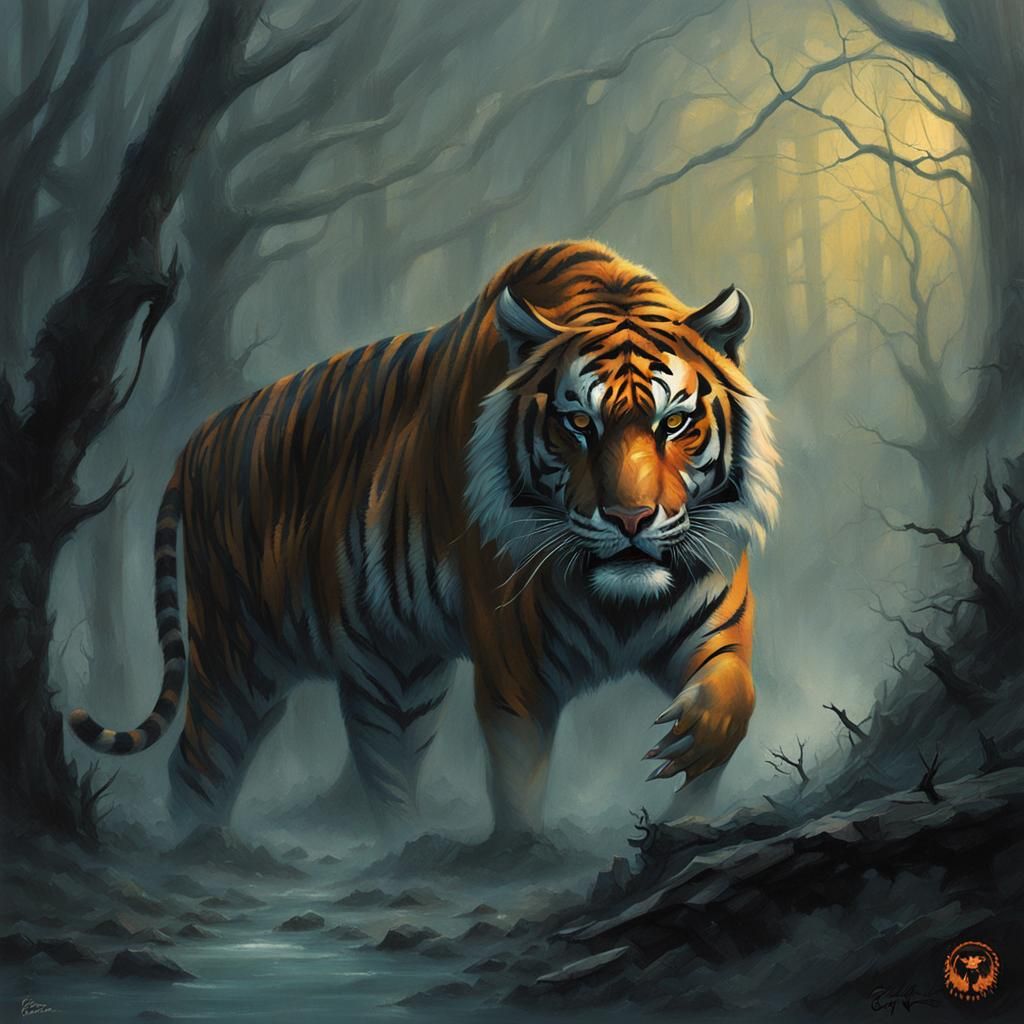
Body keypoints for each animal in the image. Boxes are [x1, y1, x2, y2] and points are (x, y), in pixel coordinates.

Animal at [69, 240, 779, 839]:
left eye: (674, 423)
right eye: (579, 423)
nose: (630, 519)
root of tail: (197, 438)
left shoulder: (714, 624)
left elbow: (736, 701)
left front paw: (690, 782)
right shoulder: (515, 670)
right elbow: (517, 779)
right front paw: (522, 857)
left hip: (394, 673)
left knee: (383, 763)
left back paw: (404, 846)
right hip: (236, 656)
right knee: (198, 766)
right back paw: (202, 847)